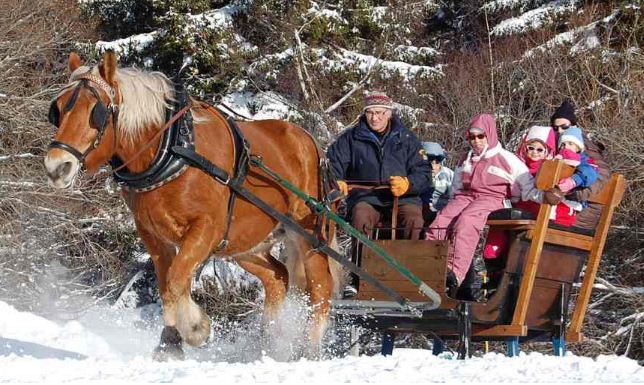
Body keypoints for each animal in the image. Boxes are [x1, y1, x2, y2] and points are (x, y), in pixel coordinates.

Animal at [44, 51, 342, 360]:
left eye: (96, 110)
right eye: (58, 109)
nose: (56, 167)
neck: (173, 150)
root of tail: (311, 144)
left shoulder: (205, 229)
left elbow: (177, 279)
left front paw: (195, 328)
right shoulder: (154, 235)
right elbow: (167, 286)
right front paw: (170, 342)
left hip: (310, 236)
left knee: (321, 290)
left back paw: (310, 350)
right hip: (245, 243)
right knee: (277, 278)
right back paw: (268, 346)